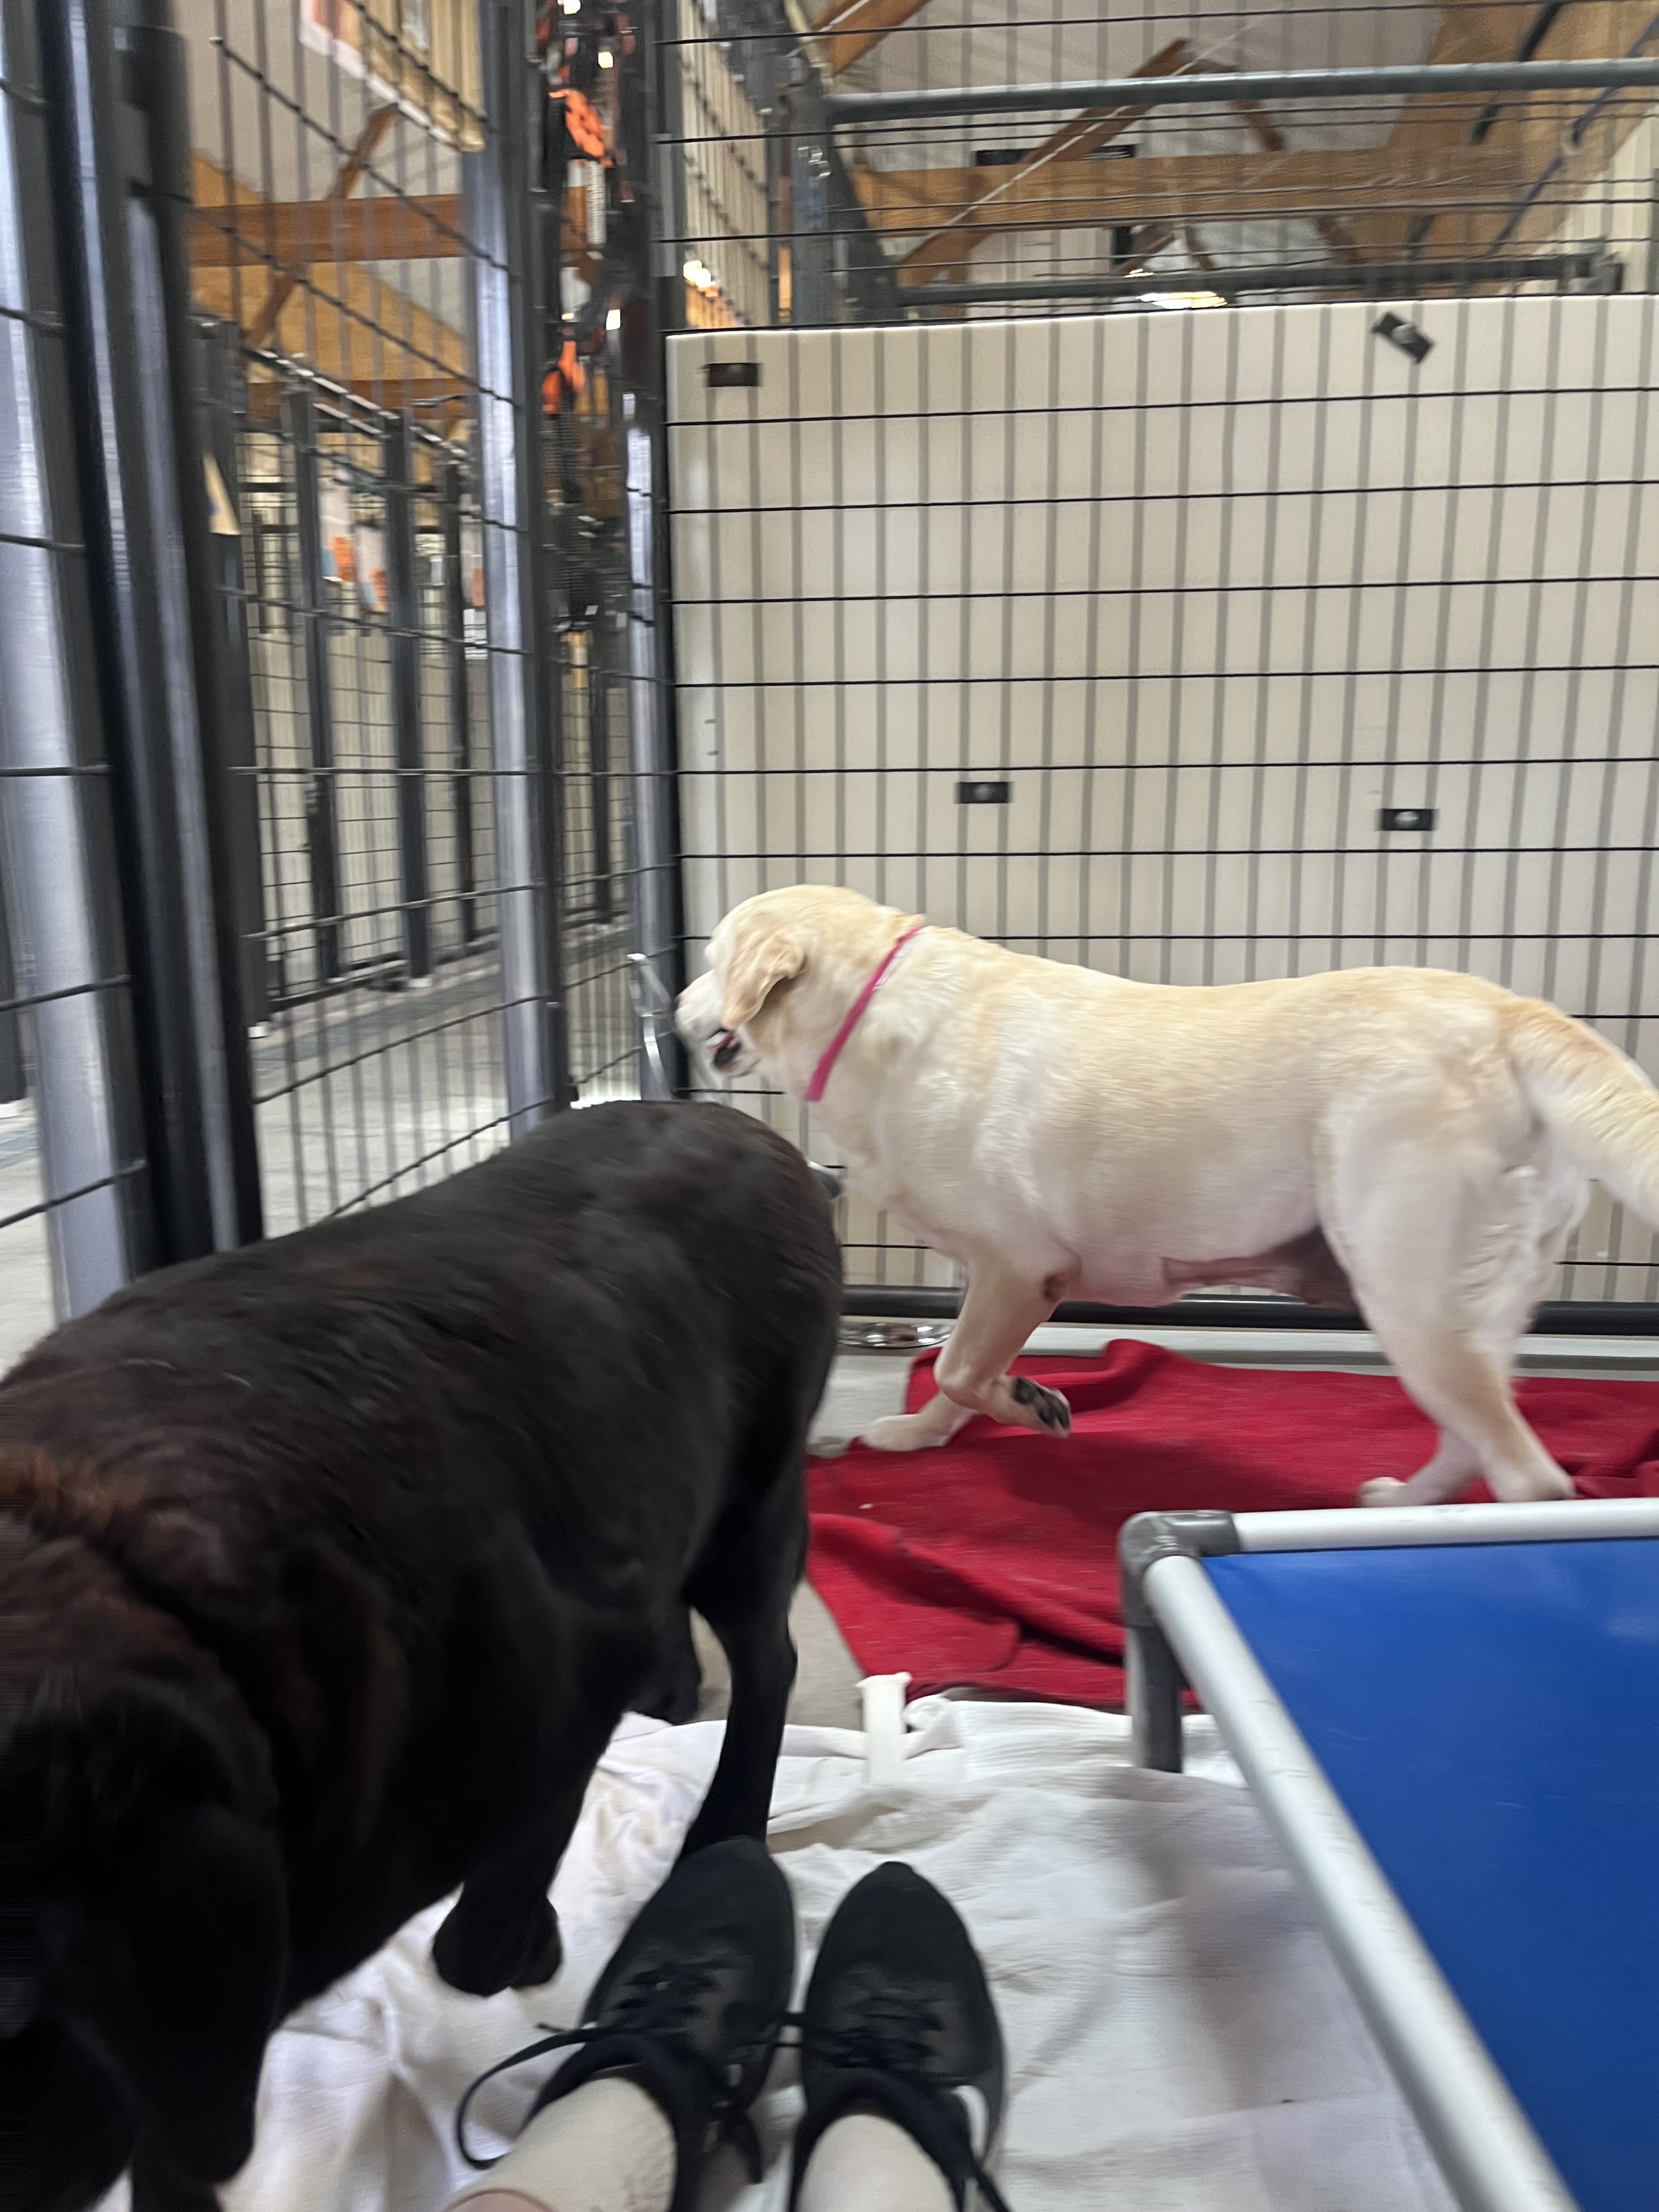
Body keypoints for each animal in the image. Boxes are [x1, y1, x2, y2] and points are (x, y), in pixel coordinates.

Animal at [0, 1101, 839, 2212]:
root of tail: (740, 1121)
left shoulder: (563, 1696)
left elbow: (471, 1944)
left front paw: (533, 1940)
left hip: (754, 1509)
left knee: (766, 1664)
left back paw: (723, 1829)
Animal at [677, 883, 1659, 1508]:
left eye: (714, 958)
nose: (678, 1013)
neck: (868, 1013)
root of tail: (1511, 1014)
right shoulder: (996, 1281)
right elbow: (956, 1376)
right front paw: (920, 1437)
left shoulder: (1020, 1267)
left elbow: (960, 1368)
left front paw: (1028, 1405)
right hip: (1464, 1312)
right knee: (1472, 1440)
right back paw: (1398, 1506)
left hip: (1408, 1296)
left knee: (1530, 1477)